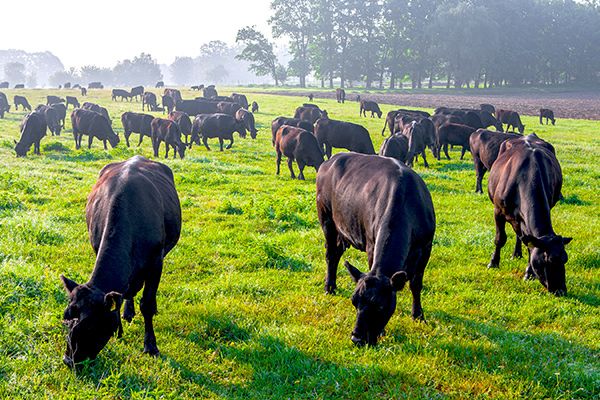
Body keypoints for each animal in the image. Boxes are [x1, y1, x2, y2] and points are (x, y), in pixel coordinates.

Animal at [59, 155, 182, 368]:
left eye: (90, 325)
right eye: (66, 319)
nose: (69, 360)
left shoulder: (156, 263)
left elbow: (147, 304)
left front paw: (151, 346)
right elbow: (120, 295)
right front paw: (121, 324)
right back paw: (128, 312)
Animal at [314, 152, 436, 346]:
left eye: (379, 306)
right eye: (354, 302)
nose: (357, 338)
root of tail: (330, 160)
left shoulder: (426, 247)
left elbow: (416, 284)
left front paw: (418, 316)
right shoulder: (371, 245)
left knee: (336, 254)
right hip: (327, 220)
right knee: (331, 255)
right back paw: (329, 287)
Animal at [486, 136, 568, 296]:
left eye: (565, 259)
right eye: (549, 260)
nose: (561, 290)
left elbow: (530, 246)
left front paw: (529, 273)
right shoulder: (498, 211)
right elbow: (500, 239)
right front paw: (493, 262)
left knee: (521, 236)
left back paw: (517, 253)